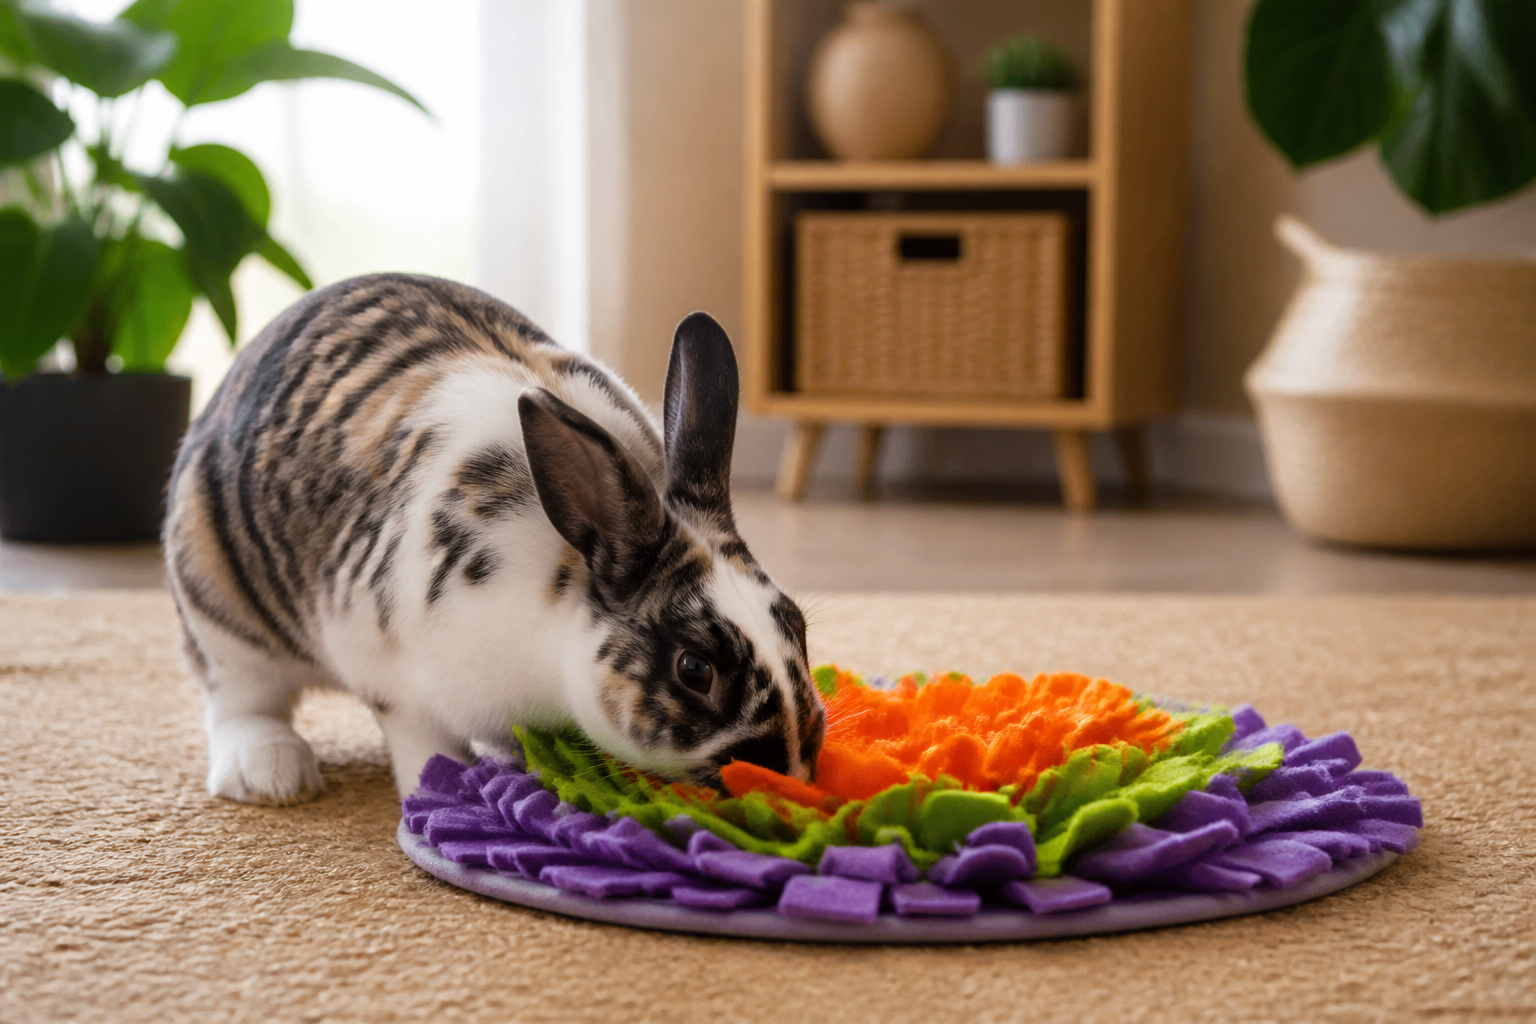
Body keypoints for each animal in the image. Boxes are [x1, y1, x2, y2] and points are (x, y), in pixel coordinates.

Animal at [163, 273, 825, 805]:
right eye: (694, 669)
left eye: (797, 625)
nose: (791, 768)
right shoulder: (395, 685)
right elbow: (424, 747)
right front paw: (447, 793)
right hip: (220, 611)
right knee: (239, 700)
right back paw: (271, 774)